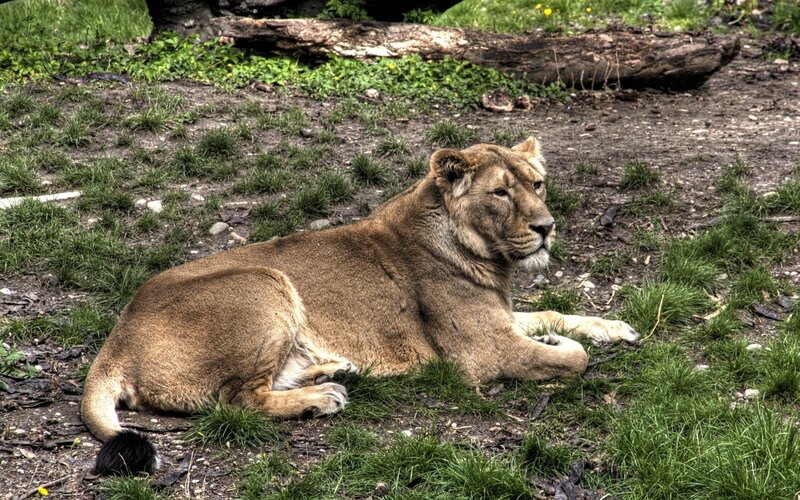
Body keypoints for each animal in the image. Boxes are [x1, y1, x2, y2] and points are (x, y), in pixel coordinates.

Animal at [81, 137, 638, 475]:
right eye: (501, 193)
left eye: (537, 184)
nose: (547, 226)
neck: (489, 257)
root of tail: (117, 337)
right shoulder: (484, 351)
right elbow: (572, 359)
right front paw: (561, 343)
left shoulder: (500, 318)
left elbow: (553, 312)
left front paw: (612, 326)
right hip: (265, 281)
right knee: (235, 400)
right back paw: (324, 396)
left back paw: (333, 370)